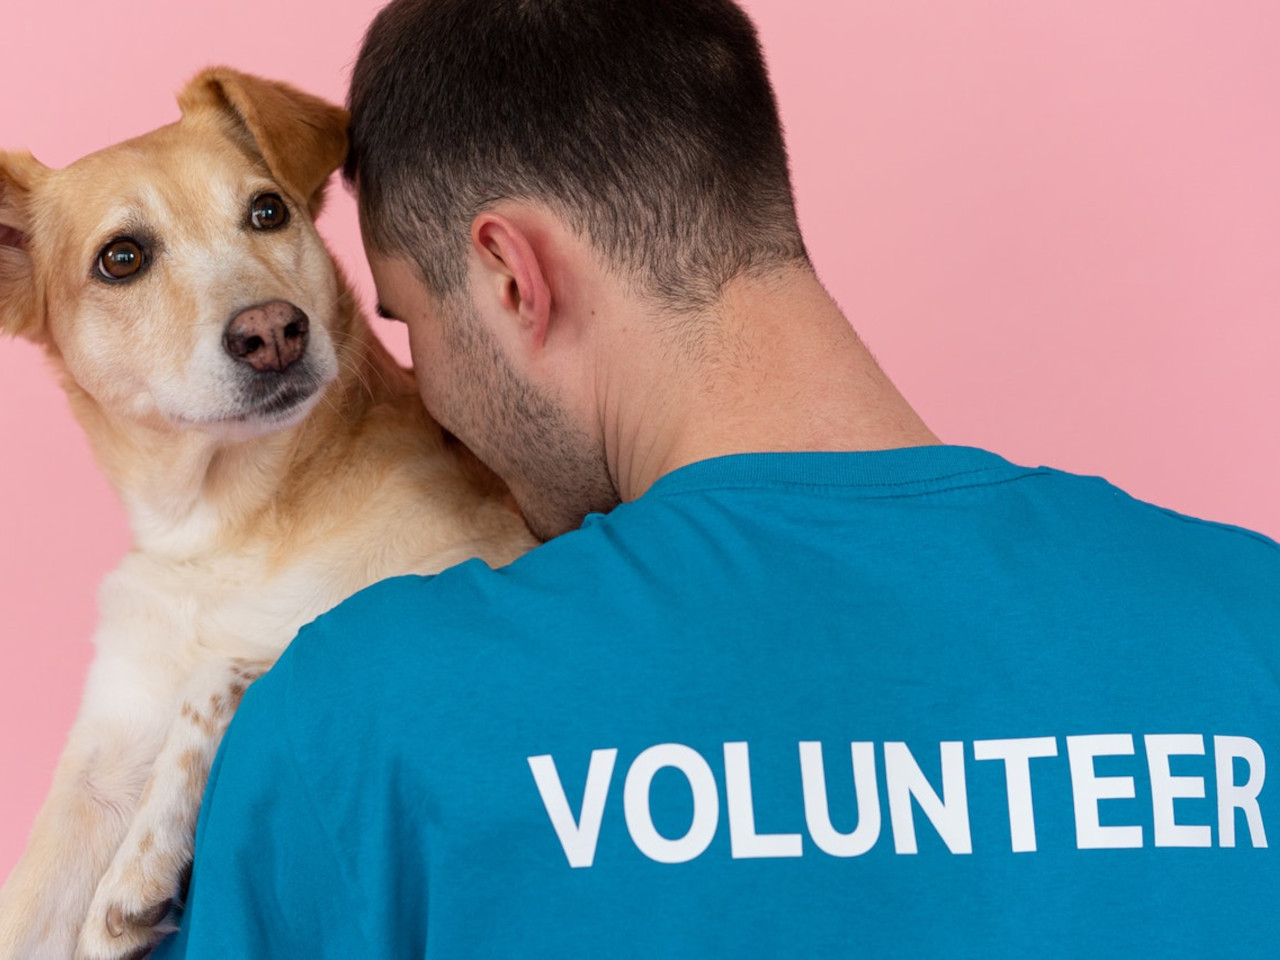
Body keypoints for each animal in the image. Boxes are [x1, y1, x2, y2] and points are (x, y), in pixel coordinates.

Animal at [0, 69, 535, 960]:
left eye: (267, 211)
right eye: (121, 258)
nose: (274, 331)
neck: (223, 525)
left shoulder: (490, 571)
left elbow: (226, 667)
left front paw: (141, 867)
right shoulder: (101, 764)